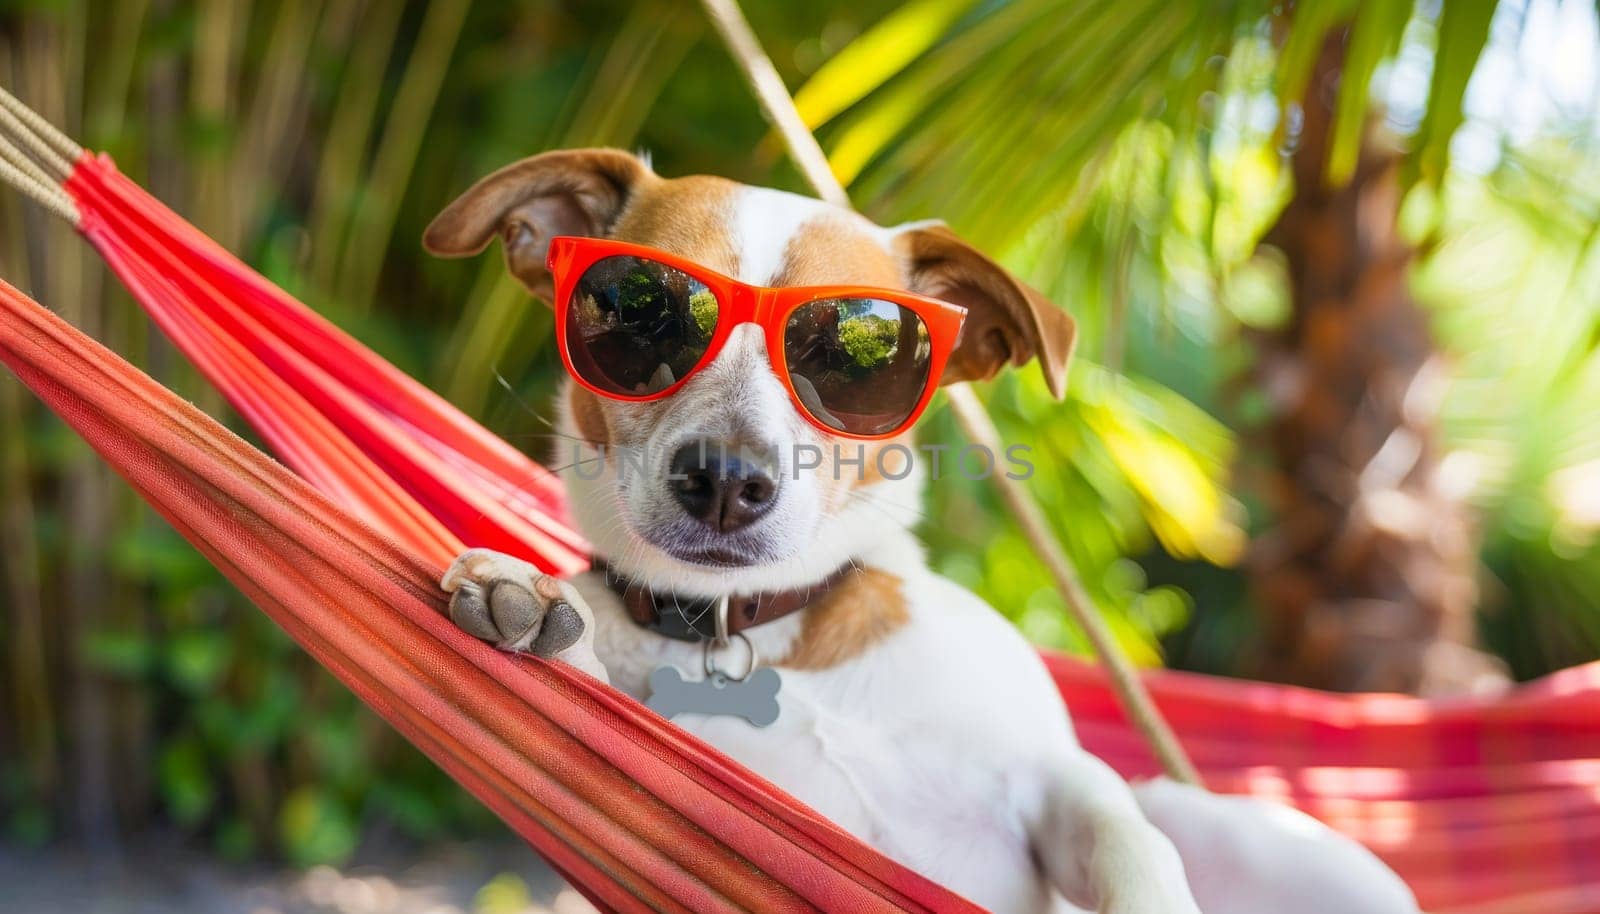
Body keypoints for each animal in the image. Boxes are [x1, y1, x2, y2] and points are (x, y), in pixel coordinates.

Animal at [419, 150, 1420, 914]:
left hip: (1253, 830)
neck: (762, 632)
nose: (727, 482)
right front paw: (539, 609)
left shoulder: (1061, 780)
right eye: (638, 308)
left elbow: (1127, 843)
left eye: (856, 352)